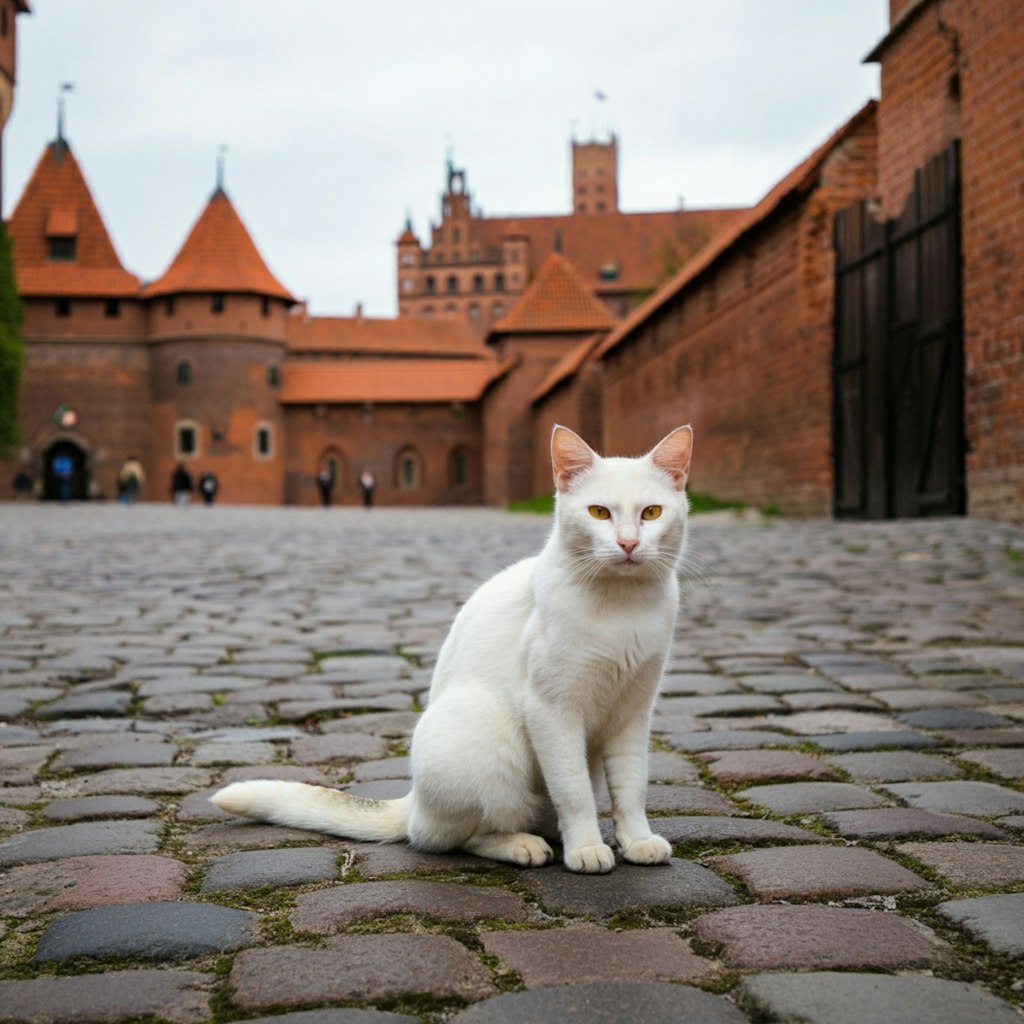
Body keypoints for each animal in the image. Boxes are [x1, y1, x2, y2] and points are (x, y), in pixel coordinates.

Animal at [210, 423, 692, 872]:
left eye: (651, 513)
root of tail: (414, 799)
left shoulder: (633, 713)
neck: (622, 607)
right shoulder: (553, 711)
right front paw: (588, 848)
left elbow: (631, 786)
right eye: (599, 512)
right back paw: (521, 845)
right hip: (486, 734)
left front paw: (636, 840)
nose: (628, 543)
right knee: (447, 836)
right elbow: (573, 792)